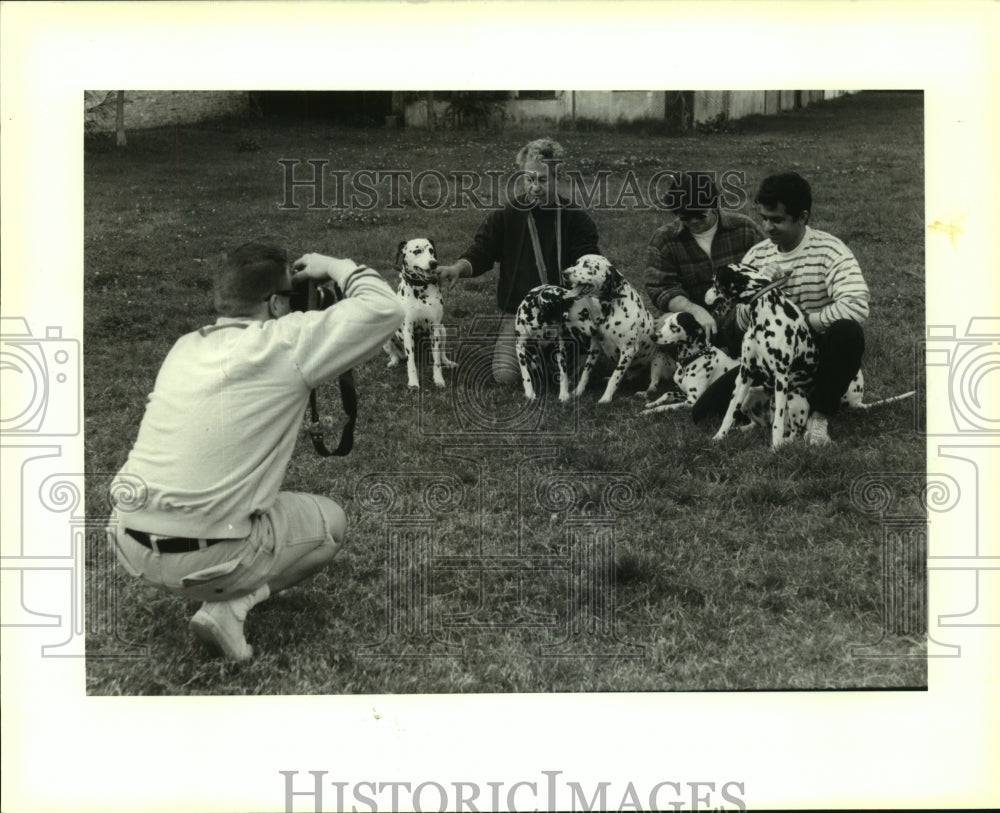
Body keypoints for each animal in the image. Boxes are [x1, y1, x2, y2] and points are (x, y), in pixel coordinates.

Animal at [382, 236, 458, 388]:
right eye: (417, 251)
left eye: (431, 250)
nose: (433, 263)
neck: (419, 289)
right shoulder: (408, 329)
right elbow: (410, 362)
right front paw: (413, 382)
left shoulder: (435, 328)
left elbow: (436, 361)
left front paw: (438, 379)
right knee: (395, 355)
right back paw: (393, 361)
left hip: (442, 330)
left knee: (442, 353)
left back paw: (448, 362)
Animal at [568, 254, 668, 402]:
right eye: (576, 263)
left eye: (587, 265)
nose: (564, 273)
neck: (608, 308)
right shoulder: (595, 347)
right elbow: (586, 373)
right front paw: (578, 391)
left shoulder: (628, 350)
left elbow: (615, 377)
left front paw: (605, 398)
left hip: (658, 359)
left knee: (653, 384)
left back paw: (645, 392)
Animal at [708, 262, 816, 448]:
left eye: (714, 281)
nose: (704, 295)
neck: (765, 311)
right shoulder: (745, 374)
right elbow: (730, 412)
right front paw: (720, 436)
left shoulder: (781, 376)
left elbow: (778, 423)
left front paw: (776, 447)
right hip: (748, 394)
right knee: (758, 423)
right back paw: (743, 428)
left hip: (795, 399)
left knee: (792, 430)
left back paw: (785, 441)